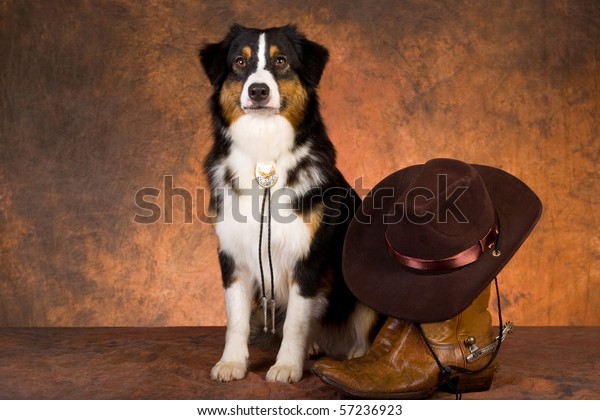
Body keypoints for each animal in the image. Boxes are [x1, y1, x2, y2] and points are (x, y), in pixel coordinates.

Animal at [199, 24, 376, 382]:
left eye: (280, 61)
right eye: (240, 62)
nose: (258, 91)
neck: (263, 146)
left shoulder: (308, 257)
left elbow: (296, 321)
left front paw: (286, 367)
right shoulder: (233, 255)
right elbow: (236, 320)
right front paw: (232, 363)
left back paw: (356, 355)